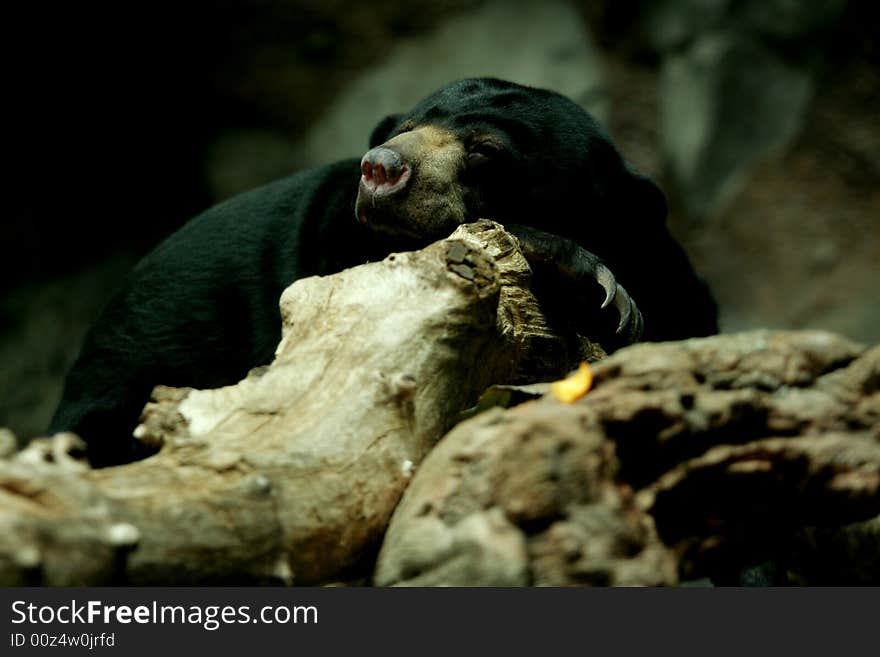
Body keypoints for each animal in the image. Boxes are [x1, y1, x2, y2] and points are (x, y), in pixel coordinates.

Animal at [51, 78, 720, 466]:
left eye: (485, 150)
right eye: (405, 128)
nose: (381, 168)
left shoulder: (664, 266)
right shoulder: (332, 248)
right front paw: (590, 279)